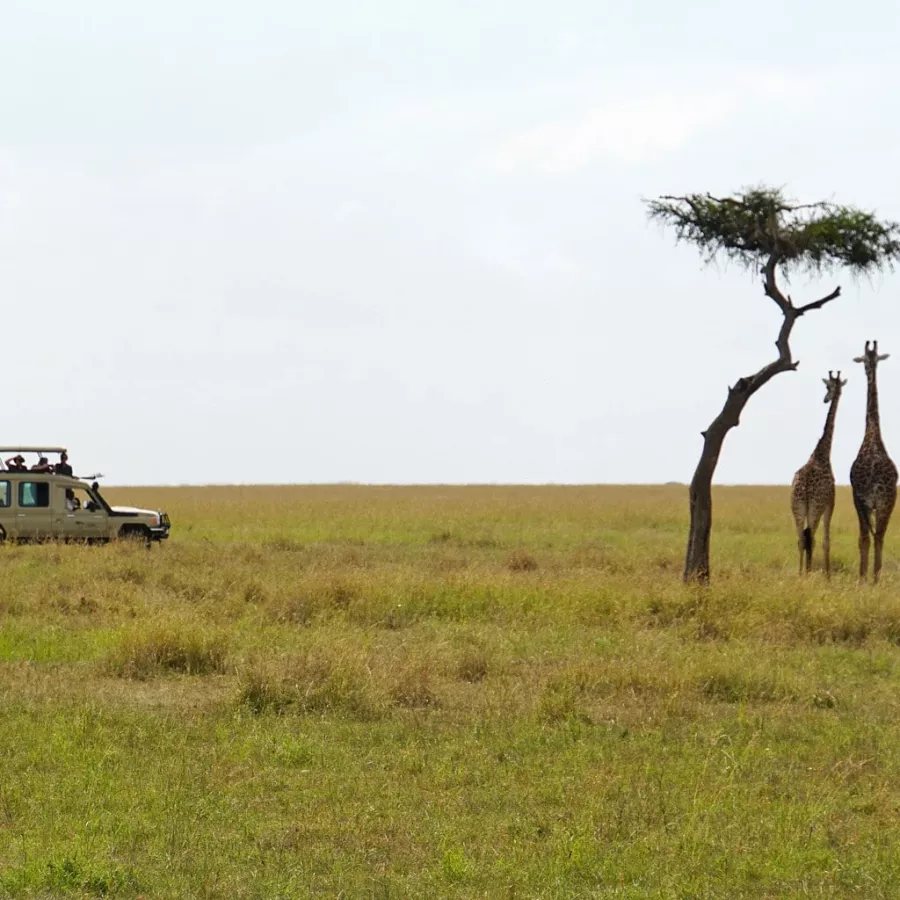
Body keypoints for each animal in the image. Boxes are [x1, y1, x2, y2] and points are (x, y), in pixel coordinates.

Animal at [792, 370, 848, 576]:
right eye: (827, 386)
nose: (825, 399)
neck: (821, 454)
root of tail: (805, 487)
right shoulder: (830, 503)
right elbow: (826, 541)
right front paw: (828, 576)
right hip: (814, 507)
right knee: (812, 538)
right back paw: (808, 573)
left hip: (797, 507)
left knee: (802, 539)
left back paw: (801, 573)